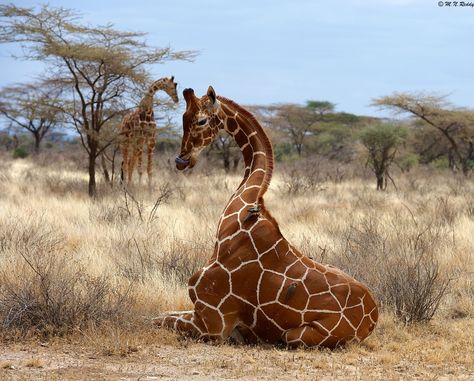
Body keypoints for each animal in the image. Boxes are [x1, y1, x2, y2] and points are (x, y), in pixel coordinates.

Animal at [155, 86, 378, 348]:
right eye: (182, 117)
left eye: (201, 120)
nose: (181, 160)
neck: (236, 222)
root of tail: (373, 318)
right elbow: (159, 314)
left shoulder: (213, 325)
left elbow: (156, 320)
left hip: (295, 335)